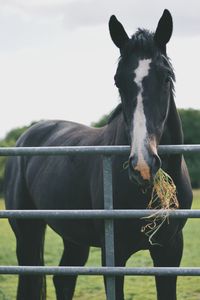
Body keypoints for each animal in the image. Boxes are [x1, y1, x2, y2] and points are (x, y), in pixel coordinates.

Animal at [4, 9, 192, 300]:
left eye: (166, 77)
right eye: (118, 81)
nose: (143, 164)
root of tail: (28, 136)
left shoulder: (170, 251)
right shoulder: (114, 254)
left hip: (73, 238)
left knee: (63, 279)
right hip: (28, 235)